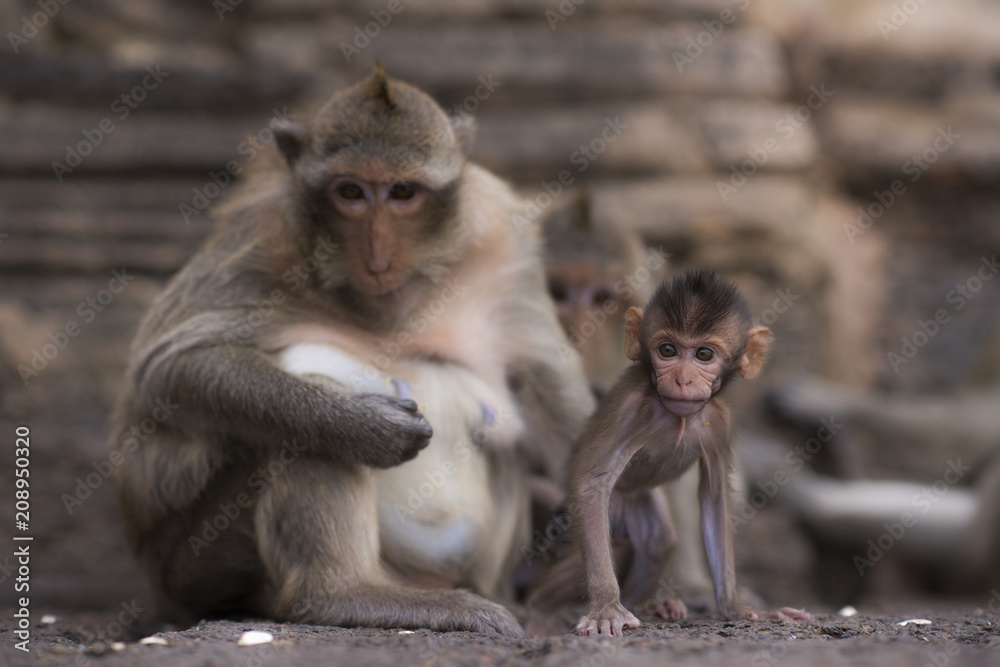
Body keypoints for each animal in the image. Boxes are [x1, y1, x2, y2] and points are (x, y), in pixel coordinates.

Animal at [109, 68, 592, 636]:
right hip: (195, 568)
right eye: (350, 192)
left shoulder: (502, 239)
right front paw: (362, 426)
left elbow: (547, 382)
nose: (378, 257)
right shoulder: (260, 239)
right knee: (297, 419)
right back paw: (340, 595)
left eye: (403, 192)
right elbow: (169, 370)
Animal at [528, 270, 808, 636]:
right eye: (668, 350)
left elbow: (715, 500)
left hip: (638, 502)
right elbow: (593, 483)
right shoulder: (630, 408)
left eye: (704, 355)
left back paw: (648, 607)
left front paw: (735, 606)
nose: (683, 379)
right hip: (592, 511)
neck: (677, 416)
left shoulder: (721, 422)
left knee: (659, 544)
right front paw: (606, 609)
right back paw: (541, 610)